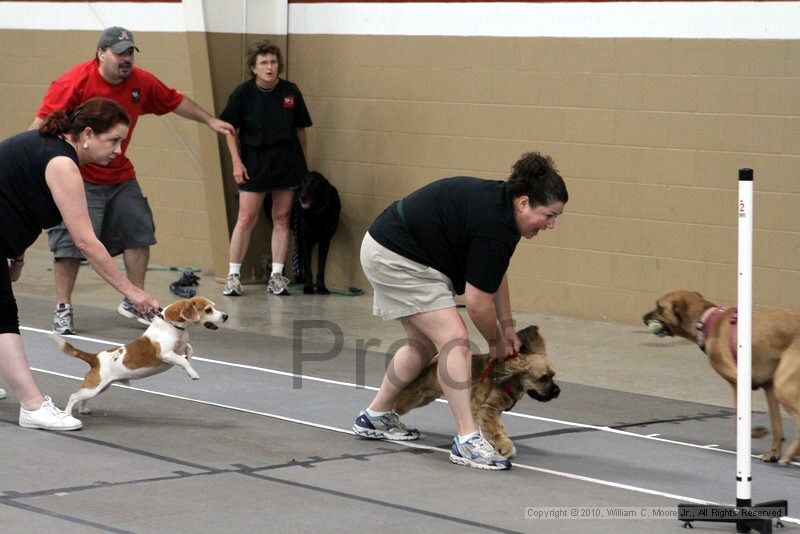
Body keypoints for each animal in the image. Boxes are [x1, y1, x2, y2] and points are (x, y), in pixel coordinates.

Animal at [53, 298, 228, 418]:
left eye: (213, 307)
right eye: (208, 310)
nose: (226, 316)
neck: (172, 325)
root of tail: (95, 358)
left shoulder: (180, 347)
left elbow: (189, 350)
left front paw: (190, 362)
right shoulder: (165, 354)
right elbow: (182, 360)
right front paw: (193, 373)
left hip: (100, 388)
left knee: (82, 398)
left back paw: (83, 409)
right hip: (94, 387)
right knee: (74, 396)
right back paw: (68, 414)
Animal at [392, 326, 556, 460]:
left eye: (553, 375)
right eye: (543, 378)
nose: (557, 391)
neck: (509, 380)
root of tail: (433, 361)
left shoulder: (493, 411)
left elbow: (494, 429)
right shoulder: (486, 408)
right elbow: (497, 429)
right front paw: (505, 446)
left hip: (425, 398)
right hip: (415, 395)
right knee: (397, 401)